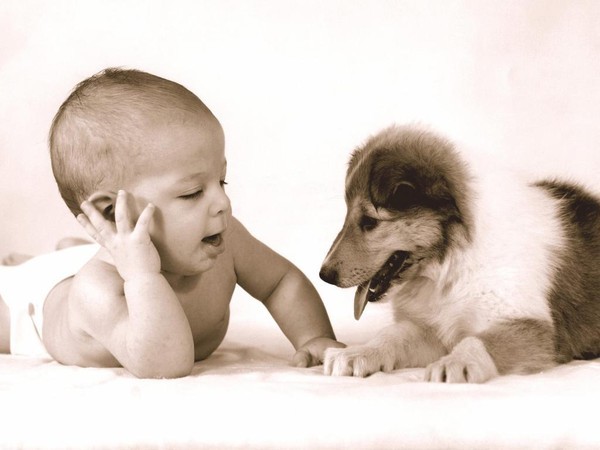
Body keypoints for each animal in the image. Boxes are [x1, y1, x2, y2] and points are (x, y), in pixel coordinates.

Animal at [322, 125, 600, 382]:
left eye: (369, 221)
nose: (324, 275)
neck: (450, 265)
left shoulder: (530, 325)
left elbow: (477, 341)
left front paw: (456, 363)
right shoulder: (430, 328)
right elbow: (391, 336)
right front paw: (357, 353)